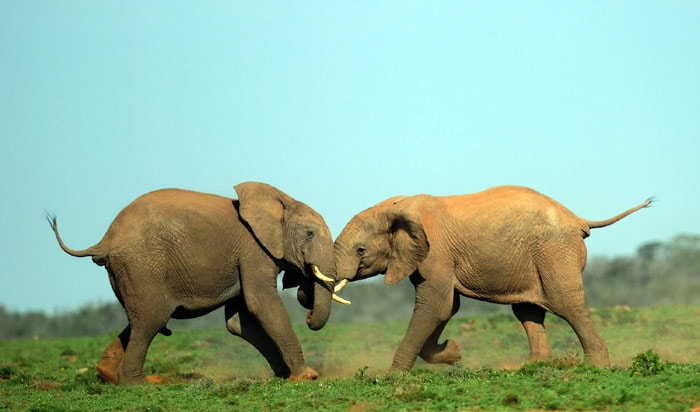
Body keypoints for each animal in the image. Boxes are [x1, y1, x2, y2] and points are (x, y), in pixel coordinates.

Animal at [47, 182, 348, 384]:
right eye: (310, 234)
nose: (307, 309)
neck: (281, 201)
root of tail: (106, 239)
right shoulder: (253, 250)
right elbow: (261, 303)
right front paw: (306, 376)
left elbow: (240, 321)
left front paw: (284, 375)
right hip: (143, 267)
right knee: (151, 320)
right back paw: (140, 384)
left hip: (131, 272)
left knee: (141, 319)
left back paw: (108, 375)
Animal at [334, 186, 652, 370]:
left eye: (361, 250)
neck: (394, 207)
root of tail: (578, 219)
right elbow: (446, 308)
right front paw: (453, 353)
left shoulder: (435, 253)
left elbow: (435, 305)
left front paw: (394, 377)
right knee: (527, 311)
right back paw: (532, 367)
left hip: (554, 253)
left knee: (566, 305)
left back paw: (596, 367)